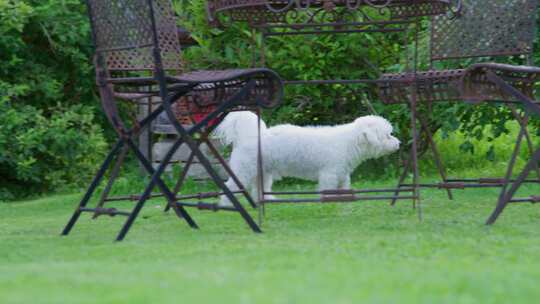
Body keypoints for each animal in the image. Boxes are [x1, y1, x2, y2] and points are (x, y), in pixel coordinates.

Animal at [215, 110, 400, 205]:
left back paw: (268, 199)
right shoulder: (329, 174)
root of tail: (248, 136)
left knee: (259, 188)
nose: (399, 143)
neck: (349, 141)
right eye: (388, 135)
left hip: (263, 173)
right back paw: (228, 203)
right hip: (243, 171)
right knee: (230, 187)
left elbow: (344, 187)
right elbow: (328, 189)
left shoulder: (342, 174)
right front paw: (330, 201)